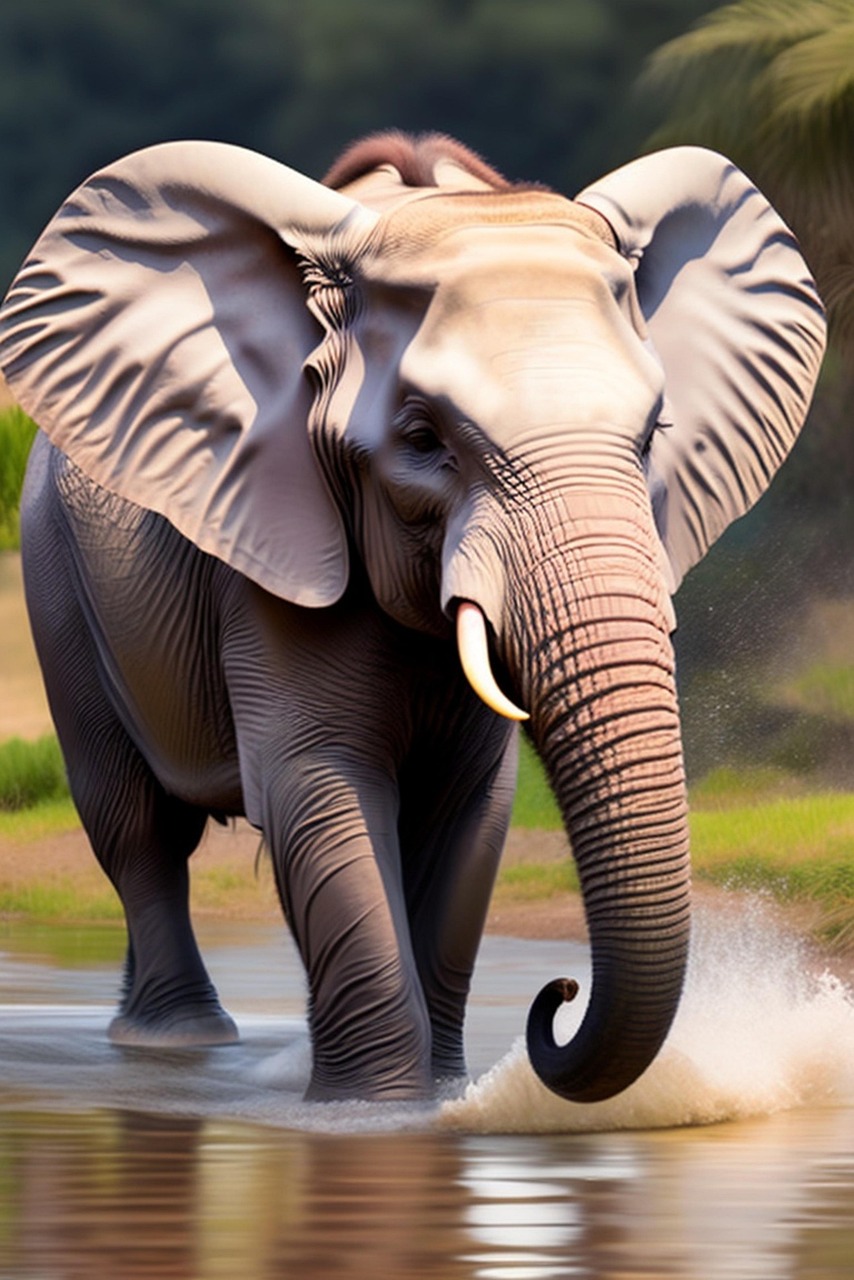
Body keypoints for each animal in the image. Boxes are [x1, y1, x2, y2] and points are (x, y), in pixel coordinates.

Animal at [0, 131, 825, 1104]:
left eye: (655, 434)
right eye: (424, 442)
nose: (558, 995)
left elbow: (469, 812)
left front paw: (439, 1101)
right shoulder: (281, 549)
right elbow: (320, 786)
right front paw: (375, 1115)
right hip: (53, 572)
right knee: (136, 827)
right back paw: (174, 1044)